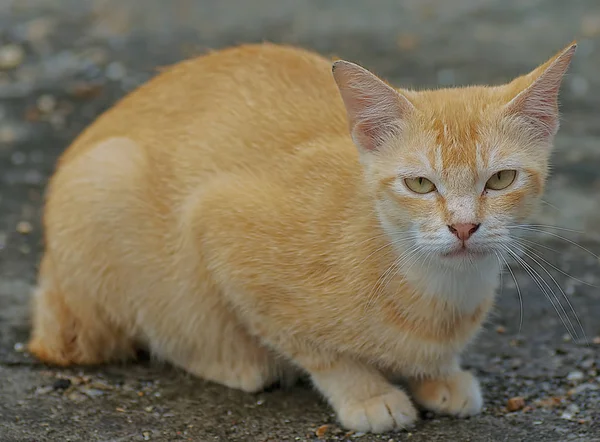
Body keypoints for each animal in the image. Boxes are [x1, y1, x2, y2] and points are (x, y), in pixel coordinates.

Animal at [28, 39, 576, 434]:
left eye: (500, 179)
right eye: (420, 184)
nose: (463, 226)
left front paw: (438, 374)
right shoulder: (216, 221)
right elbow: (314, 348)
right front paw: (366, 393)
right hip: (106, 181)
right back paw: (239, 363)